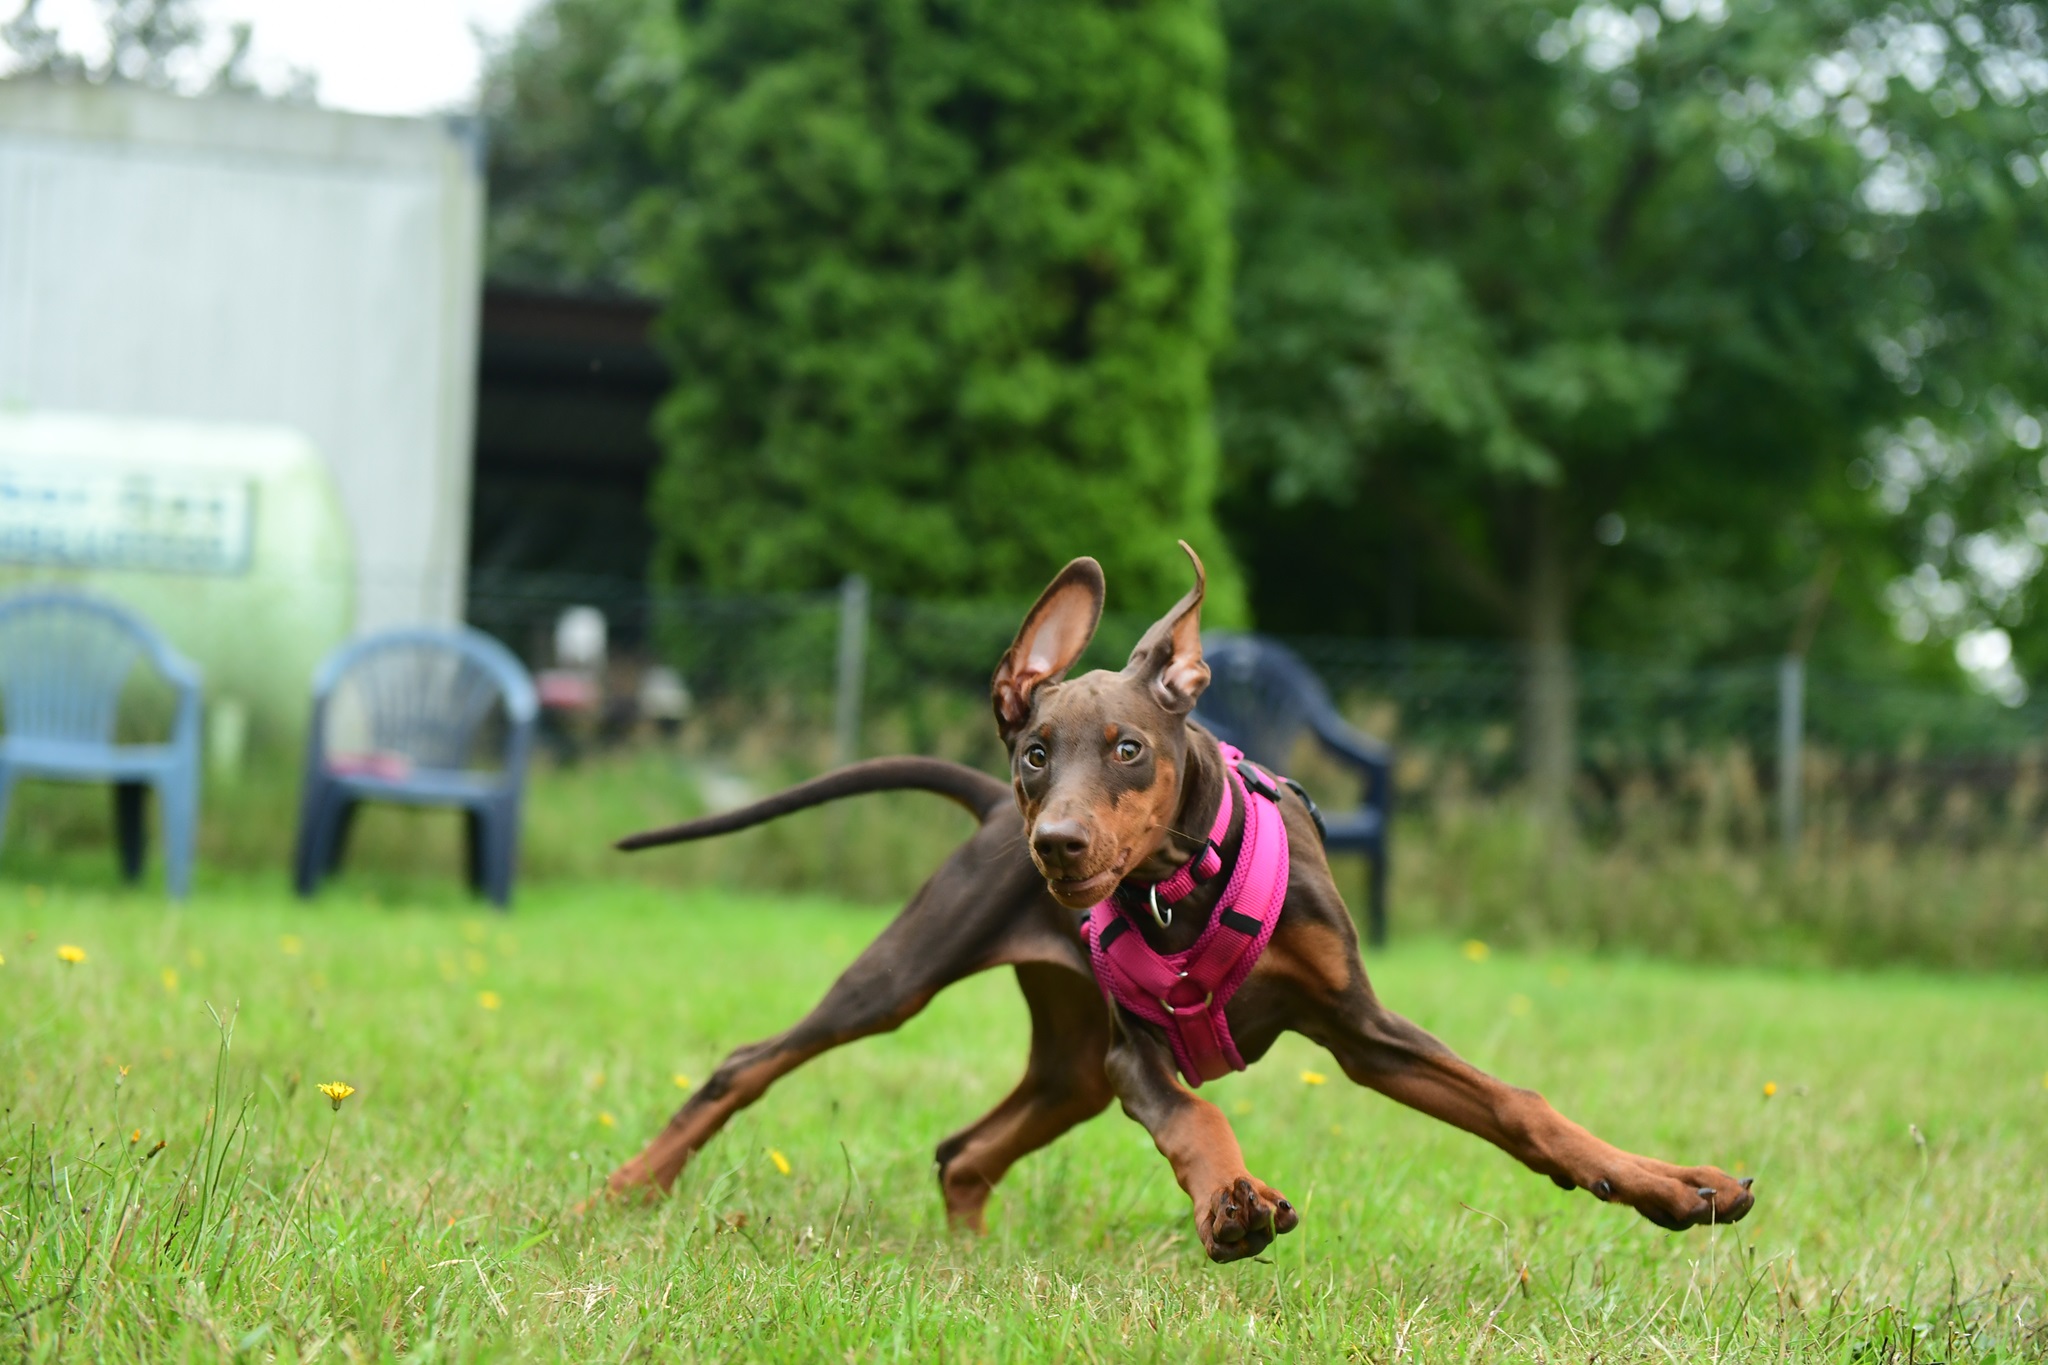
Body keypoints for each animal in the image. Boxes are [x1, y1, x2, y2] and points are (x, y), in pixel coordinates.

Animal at [607, 544, 1755, 1262]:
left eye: (1126, 749)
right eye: (1036, 752)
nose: (1058, 848)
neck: (1181, 888)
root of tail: (983, 814)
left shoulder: (1363, 1030)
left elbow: (1520, 1106)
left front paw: (1672, 1187)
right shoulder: (1137, 1055)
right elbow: (1196, 1118)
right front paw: (1233, 1207)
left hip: (1069, 1060)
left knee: (963, 1149)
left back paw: (969, 1263)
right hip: (918, 978)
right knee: (749, 1065)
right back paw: (621, 1191)